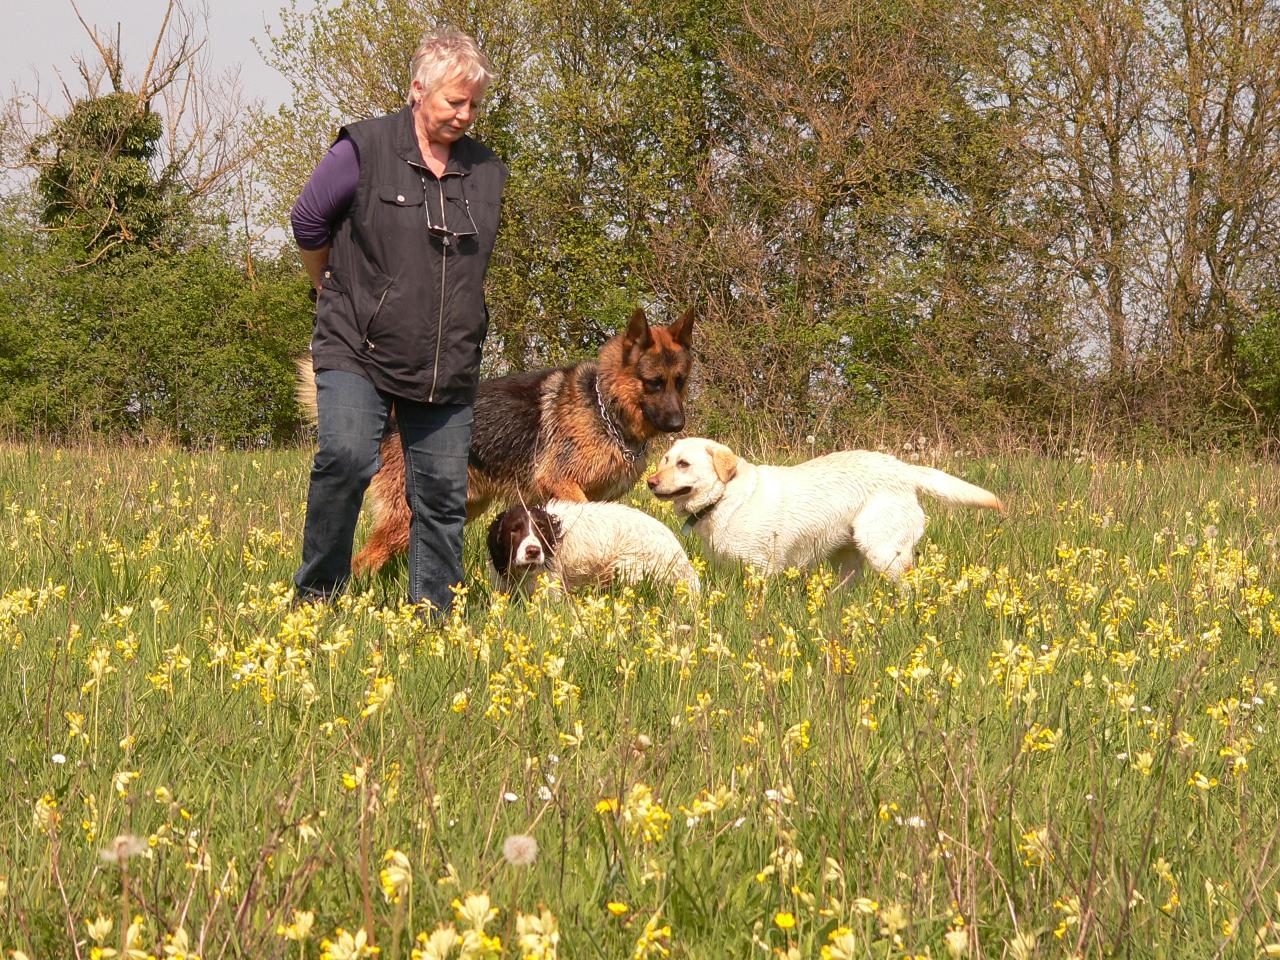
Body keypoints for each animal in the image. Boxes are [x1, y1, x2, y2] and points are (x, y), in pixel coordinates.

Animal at [340, 308, 696, 570]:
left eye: (679, 381)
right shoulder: (561, 482)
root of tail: (394, 420)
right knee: (363, 561)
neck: (604, 407)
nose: (678, 424)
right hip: (406, 518)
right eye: (653, 383)